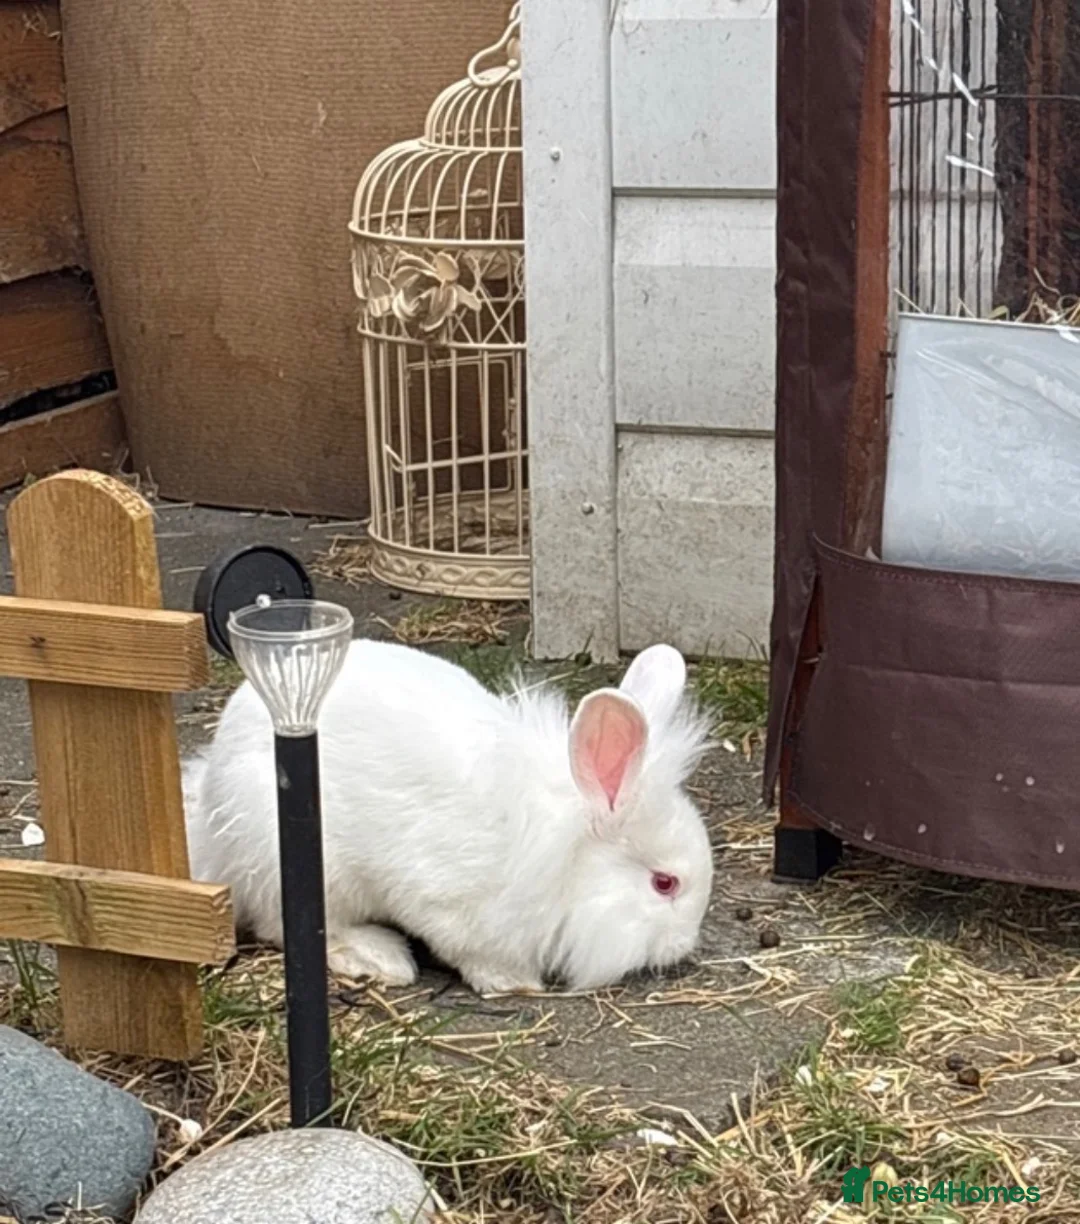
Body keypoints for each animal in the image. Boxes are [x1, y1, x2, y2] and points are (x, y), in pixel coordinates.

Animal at [182, 639, 714, 995]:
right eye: (664, 884)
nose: (684, 944)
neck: (563, 854)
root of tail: (210, 809)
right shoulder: (453, 907)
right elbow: (474, 954)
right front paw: (516, 984)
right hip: (297, 871)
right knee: (285, 929)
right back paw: (381, 959)